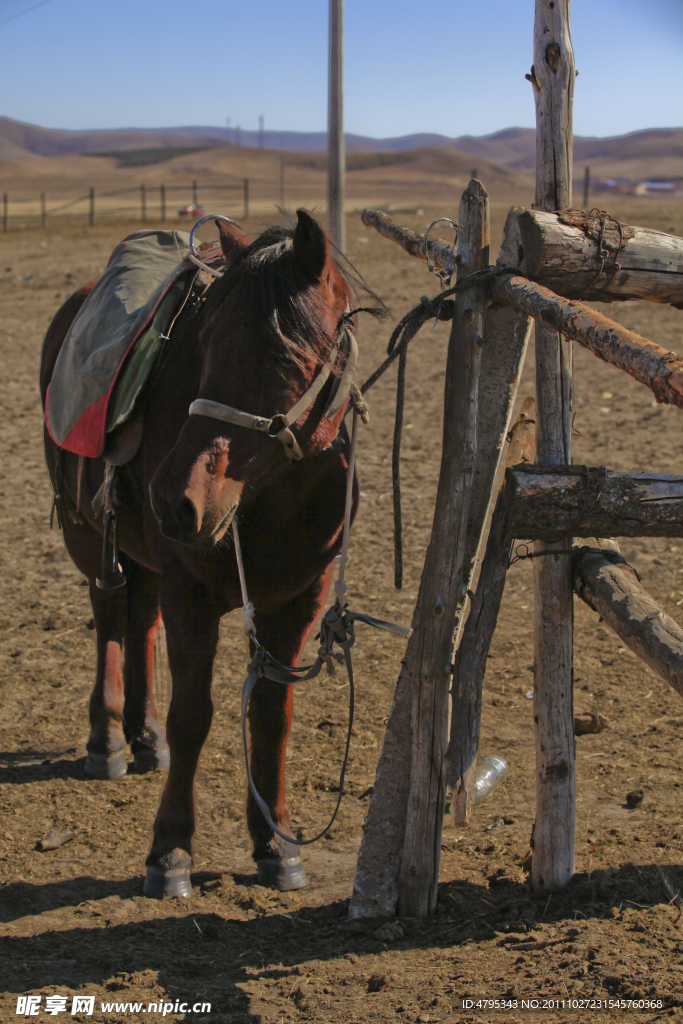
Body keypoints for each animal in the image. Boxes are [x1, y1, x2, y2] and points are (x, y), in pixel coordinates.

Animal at [38, 209, 368, 897]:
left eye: (282, 354)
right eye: (206, 341)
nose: (174, 498)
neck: (275, 495)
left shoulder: (299, 600)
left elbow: (272, 714)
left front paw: (275, 843)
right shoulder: (189, 591)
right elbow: (194, 715)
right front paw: (169, 851)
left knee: (140, 621)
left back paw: (143, 737)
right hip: (88, 536)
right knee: (111, 619)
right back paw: (108, 741)